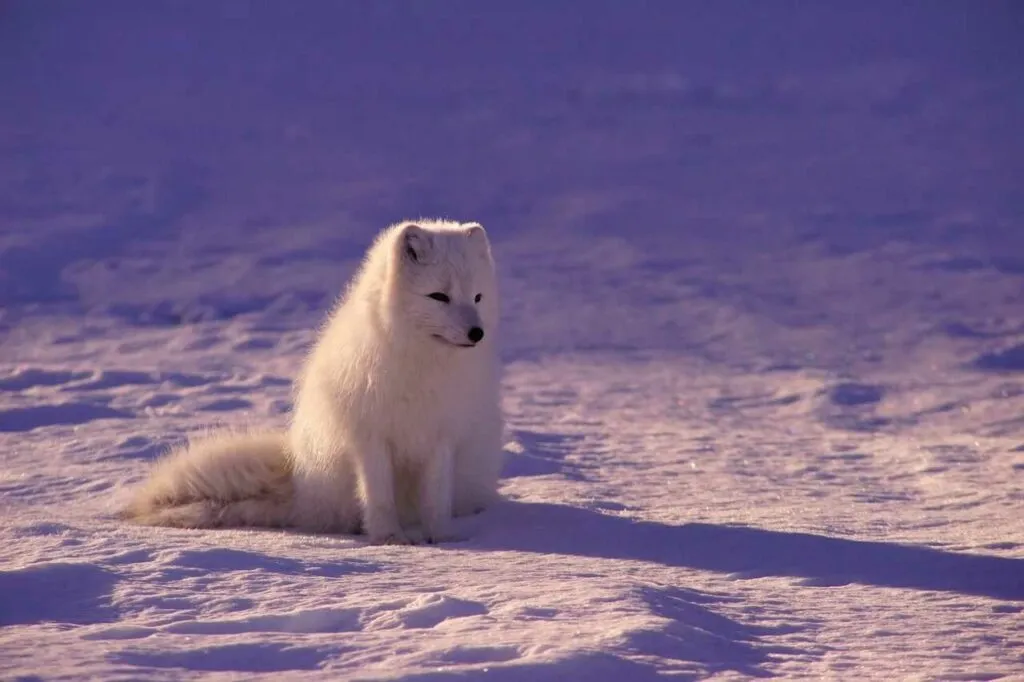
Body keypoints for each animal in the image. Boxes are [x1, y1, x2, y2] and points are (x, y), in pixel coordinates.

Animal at [121, 220, 505, 544]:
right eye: (439, 296)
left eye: (477, 297)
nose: (477, 333)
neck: (421, 364)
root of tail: (300, 486)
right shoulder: (370, 437)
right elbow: (379, 496)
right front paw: (389, 538)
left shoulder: (442, 437)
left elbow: (436, 498)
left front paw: (441, 537)